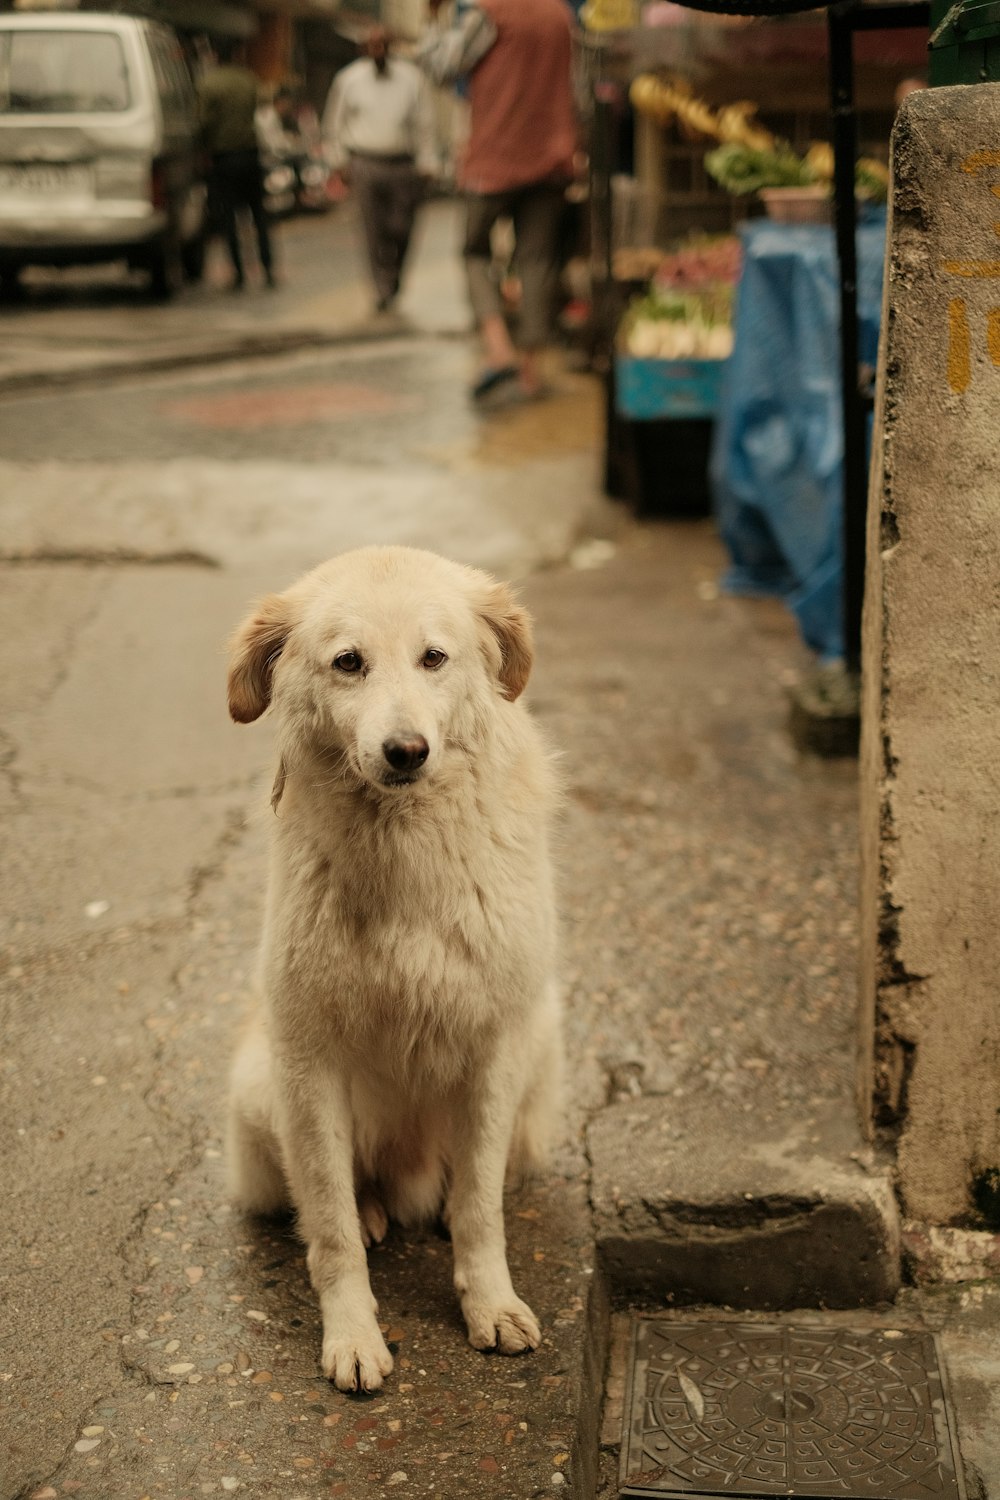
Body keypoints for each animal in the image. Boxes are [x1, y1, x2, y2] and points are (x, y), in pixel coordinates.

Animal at [223, 549, 563, 1392]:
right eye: (349, 663)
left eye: (433, 658)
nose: (406, 750)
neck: (406, 848)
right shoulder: (308, 1060)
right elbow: (330, 1227)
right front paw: (351, 1335)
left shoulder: (497, 1045)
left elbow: (479, 1206)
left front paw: (490, 1306)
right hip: (262, 1081)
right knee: (332, 1194)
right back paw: (375, 1210)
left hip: (544, 1043)